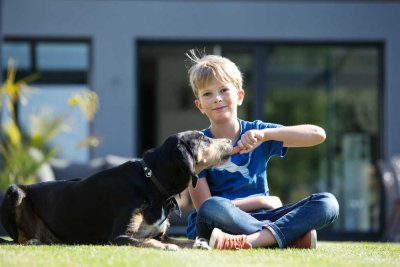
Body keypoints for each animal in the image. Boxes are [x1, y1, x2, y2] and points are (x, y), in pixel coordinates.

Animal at [0, 131, 233, 250]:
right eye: (205, 139)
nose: (230, 140)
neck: (152, 183)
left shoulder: (163, 235)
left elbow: (185, 240)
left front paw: (200, 243)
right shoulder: (119, 236)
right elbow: (146, 241)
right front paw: (168, 248)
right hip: (14, 190)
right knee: (18, 238)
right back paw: (32, 240)